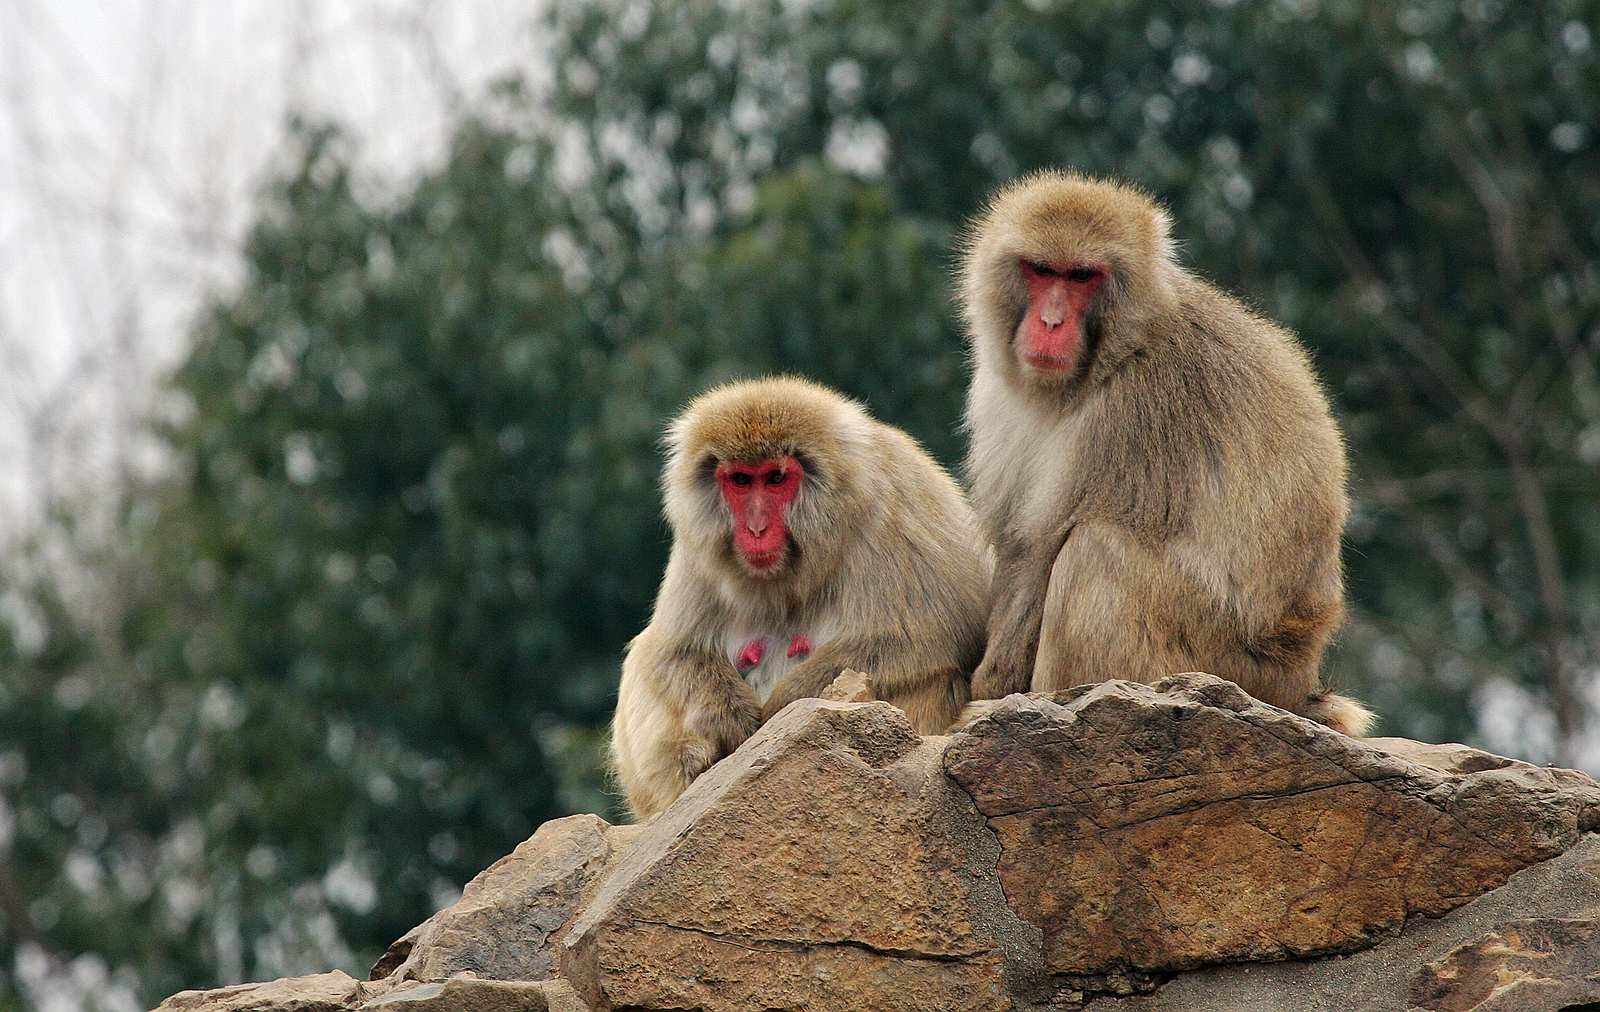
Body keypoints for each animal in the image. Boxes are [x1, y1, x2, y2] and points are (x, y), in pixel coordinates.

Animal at [611, 376, 985, 819]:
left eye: (775, 479)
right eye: (741, 481)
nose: (755, 529)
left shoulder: (895, 505)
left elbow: (927, 636)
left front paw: (782, 707)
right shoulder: (697, 544)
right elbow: (671, 650)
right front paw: (729, 718)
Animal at [953, 169, 1369, 730]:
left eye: (1082, 276)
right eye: (1040, 270)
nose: (1051, 323)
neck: (1109, 357)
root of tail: (1298, 684)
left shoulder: (1138, 411)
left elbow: (1042, 553)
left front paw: (988, 691)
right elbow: (1019, 546)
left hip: (1214, 660)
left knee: (1091, 550)